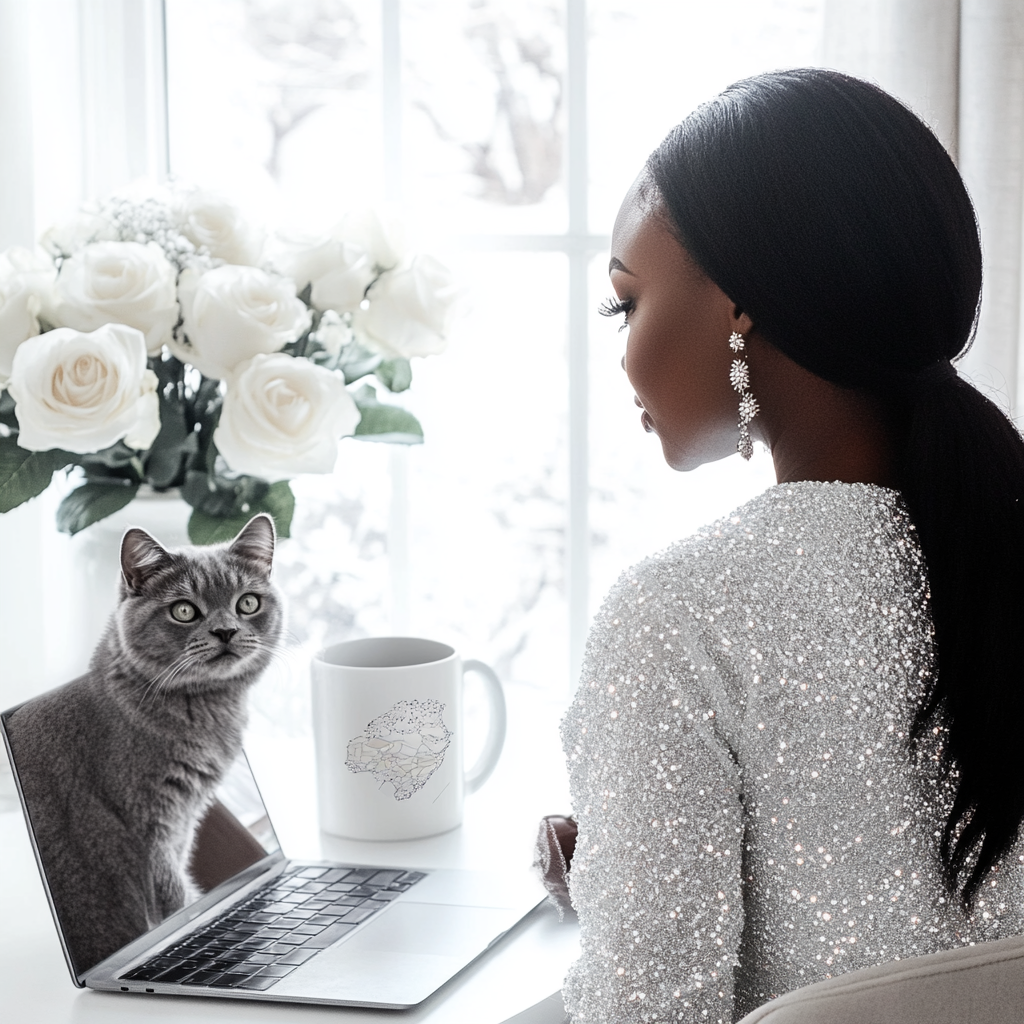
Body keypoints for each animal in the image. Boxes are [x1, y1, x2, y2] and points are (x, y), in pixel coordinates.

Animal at [4, 512, 284, 974]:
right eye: (184, 610)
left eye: (247, 603)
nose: (226, 631)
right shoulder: (150, 830)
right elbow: (175, 899)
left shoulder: (185, 822)